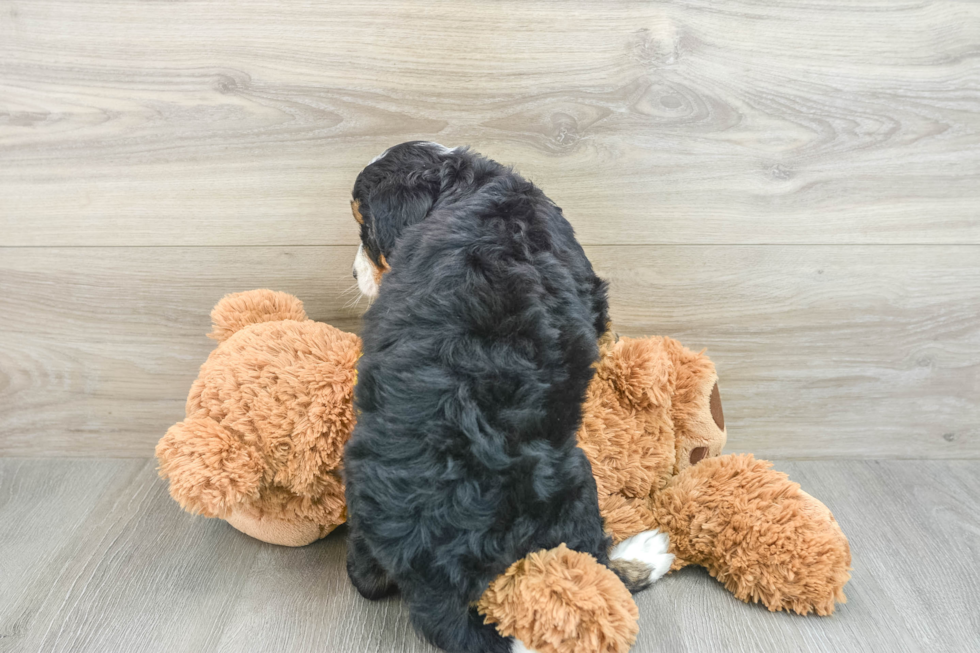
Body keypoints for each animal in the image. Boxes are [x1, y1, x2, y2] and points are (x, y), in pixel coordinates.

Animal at [342, 143, 668, 652]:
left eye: (366, 230)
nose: (353, 273)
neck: (464, 186)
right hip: (574, 482)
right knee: (592, 568)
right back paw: (644, 555)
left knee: (366, 578)